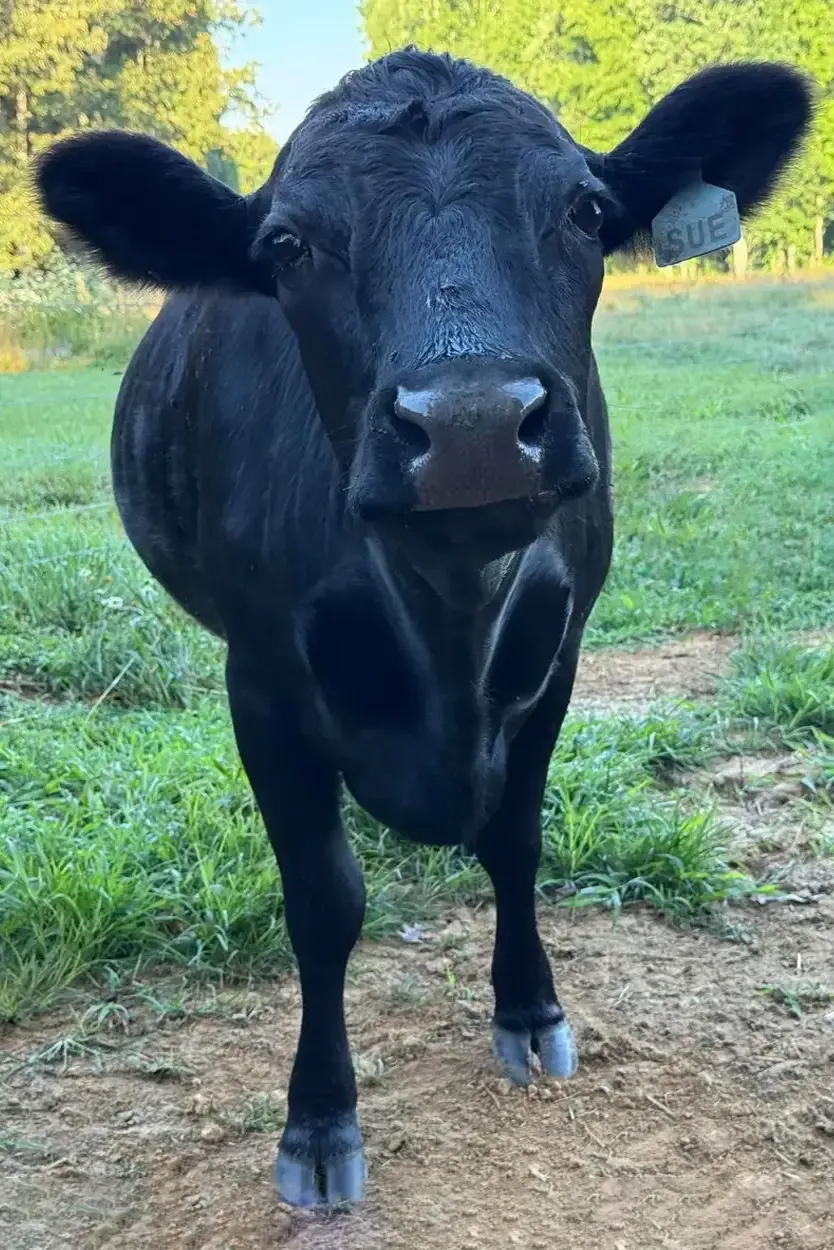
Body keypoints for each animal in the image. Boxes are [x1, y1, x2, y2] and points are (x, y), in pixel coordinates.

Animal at [36, 48, 811, 1209]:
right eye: (286, 245)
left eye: (586, 211)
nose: (475, 424)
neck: (445, 621)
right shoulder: (259, 681)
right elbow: (322, 900)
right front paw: (318, 1119)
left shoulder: (559, 655)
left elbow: (517, 839)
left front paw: (529, 1009)